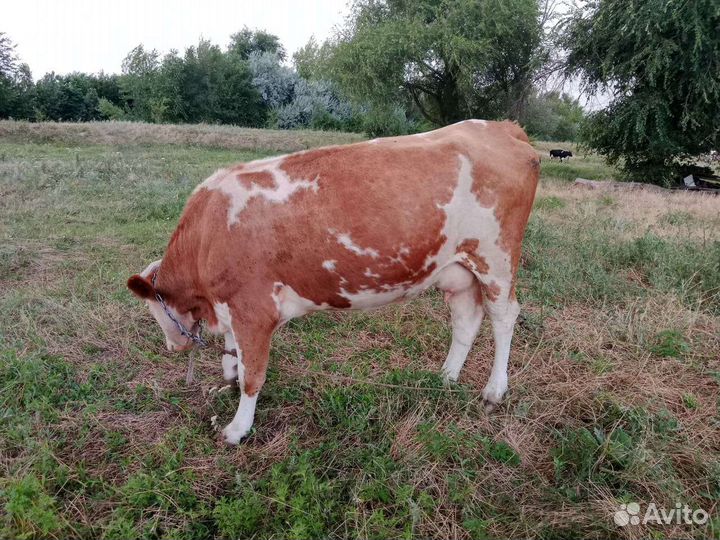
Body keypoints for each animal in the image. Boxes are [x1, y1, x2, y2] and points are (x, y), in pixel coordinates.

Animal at [127, 119, 540, 444]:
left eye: (155, 312)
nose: (171, 346)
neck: (207, 235)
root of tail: (503, 128)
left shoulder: (254, 311)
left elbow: (252, 375)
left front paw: (237, 429)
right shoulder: (233, 305)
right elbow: (234, 356)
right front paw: (226, 379)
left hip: (496, 258)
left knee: (504, 316)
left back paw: (493, 391)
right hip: (457, 269)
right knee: (466, 319)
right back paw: (445, 377)